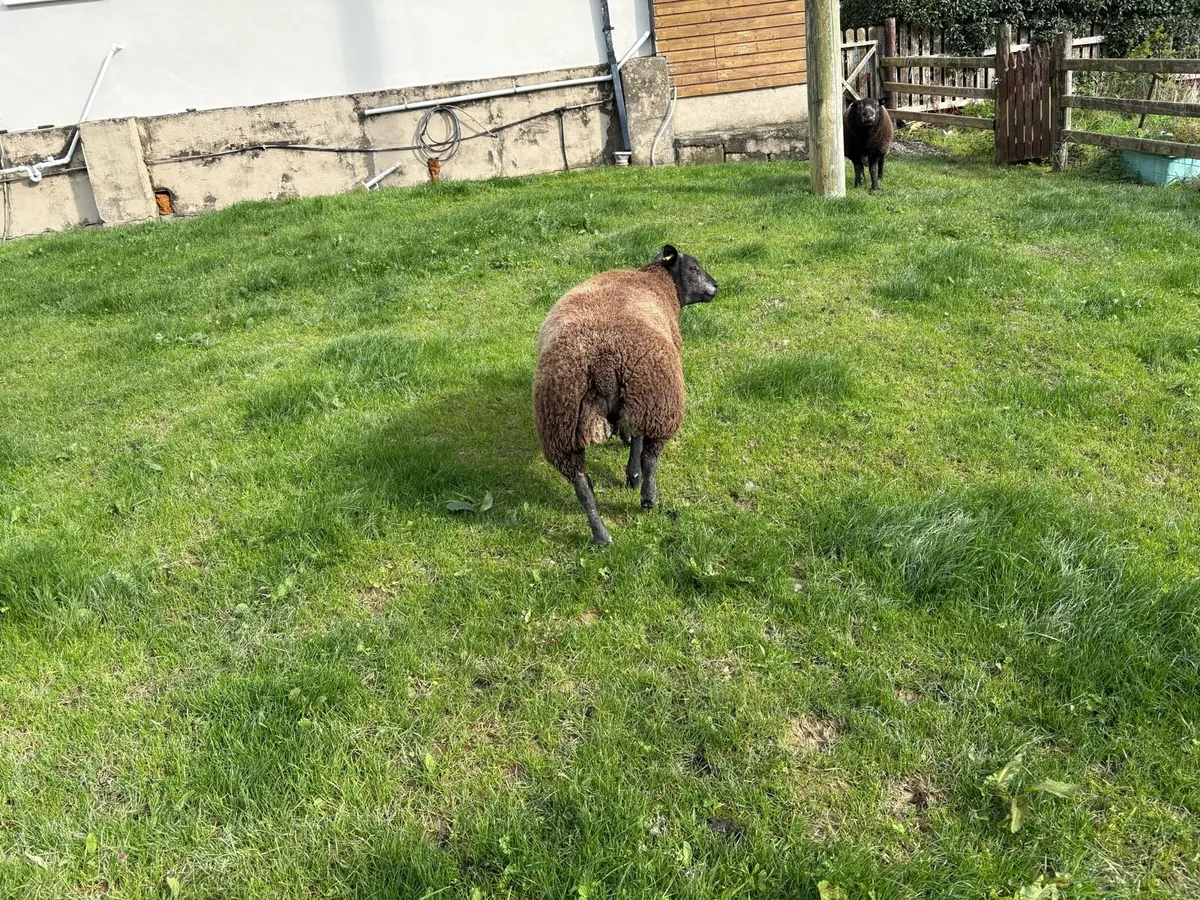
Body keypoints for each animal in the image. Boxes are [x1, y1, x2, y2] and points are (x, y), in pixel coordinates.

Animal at [533, 245, 719, 546]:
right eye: (693, 268)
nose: (716, 286)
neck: (657, 283)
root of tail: (604, 363)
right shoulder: (641, 402)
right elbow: (639, 443)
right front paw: (633, 473)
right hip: (658, 400)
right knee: (651, 457)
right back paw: (647, 496)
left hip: (560, 423)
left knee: (581, 483)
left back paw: (601, 536)